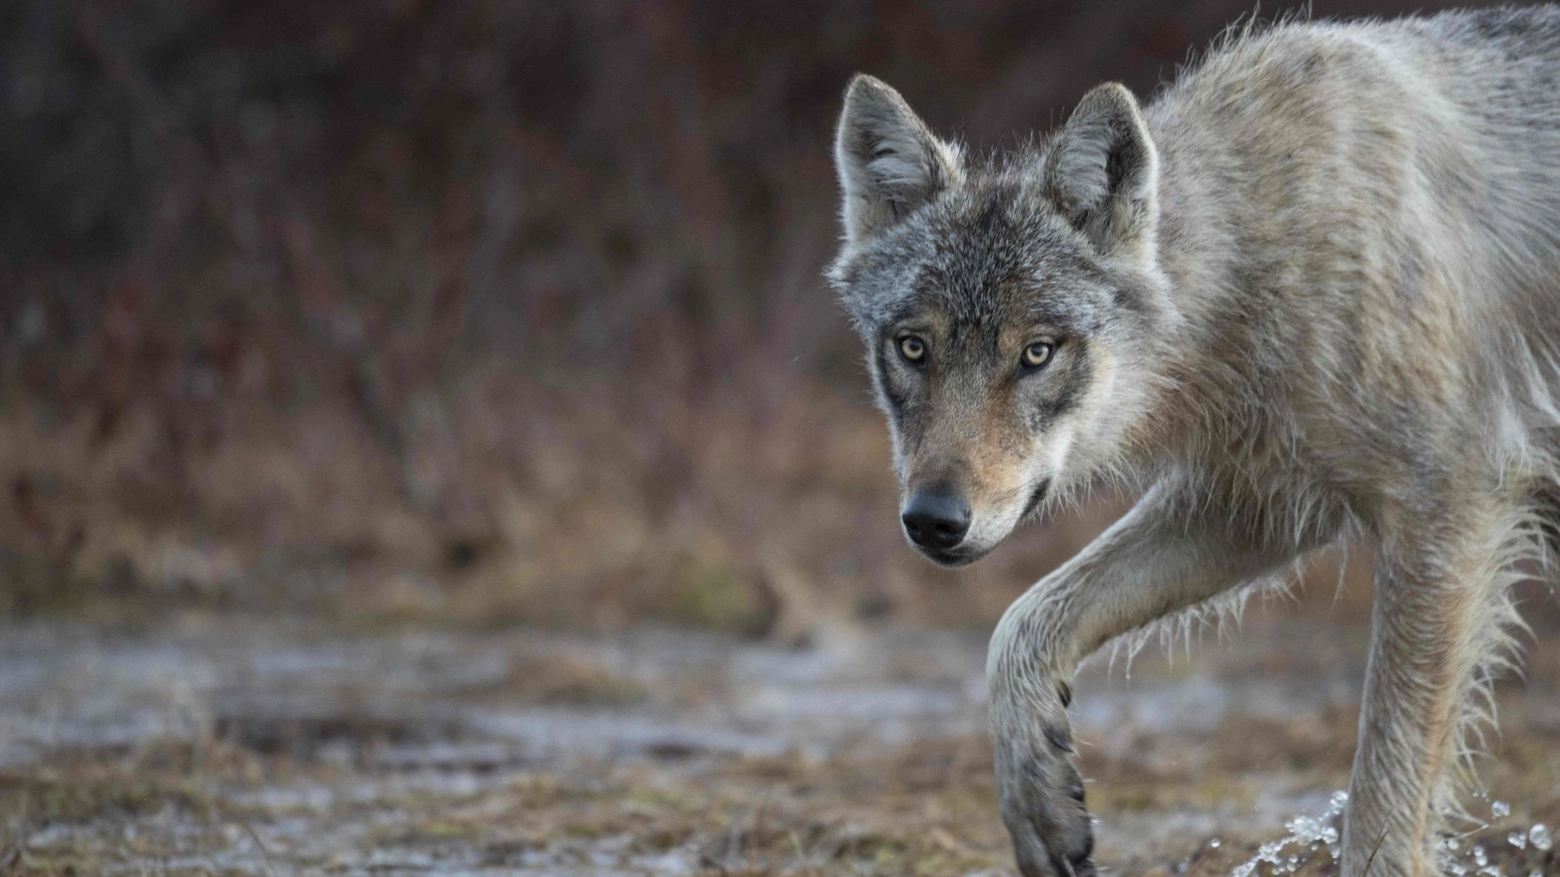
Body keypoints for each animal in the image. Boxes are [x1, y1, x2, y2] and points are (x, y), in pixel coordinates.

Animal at [829, 6, 1560, 873]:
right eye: (913, 348)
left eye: (1037, 352)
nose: (933, 519)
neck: (1266, 251)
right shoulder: (1257, 505)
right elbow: (1019, 625)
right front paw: (1039, 801)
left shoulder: (1449, 510)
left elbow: (1384, 795)